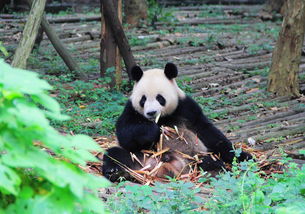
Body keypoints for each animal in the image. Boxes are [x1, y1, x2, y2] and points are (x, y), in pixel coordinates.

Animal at [101, 62, 251, 181]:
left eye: (160, 98)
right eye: (143, 99)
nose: (151, 113)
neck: (162, 118)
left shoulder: (186, 107)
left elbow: (207, 132)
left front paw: (243, 156)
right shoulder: (131, 109)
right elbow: (125, 135)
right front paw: (153, 131)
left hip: (192, 156)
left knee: (207, 160)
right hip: (140, 158)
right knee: (116, 154)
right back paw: (115, 172)